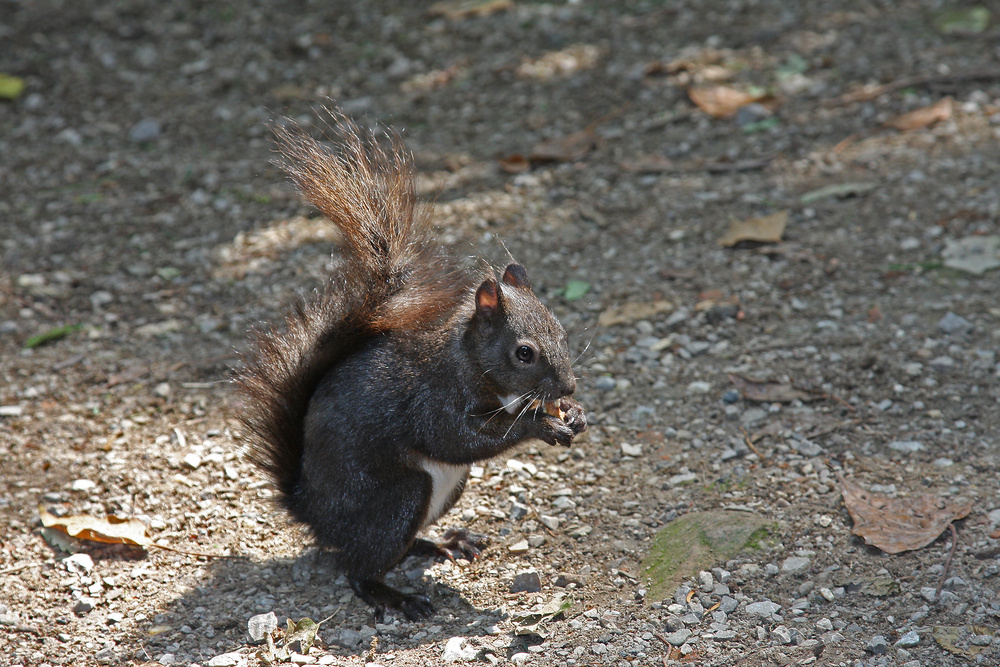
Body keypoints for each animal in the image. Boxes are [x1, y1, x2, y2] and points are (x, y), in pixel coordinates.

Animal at [235, 111, 588, 620]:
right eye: (524, 352)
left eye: (562, 331)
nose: (568, 389)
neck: (468, 357)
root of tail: (310, 509)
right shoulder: (432, 396)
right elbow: (456, 437)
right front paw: (540, 426)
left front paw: (573, 417)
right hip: (398, 497)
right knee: (358, 567)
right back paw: (396, 596)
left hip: (445, 493)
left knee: (396, 547)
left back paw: (441, 543)